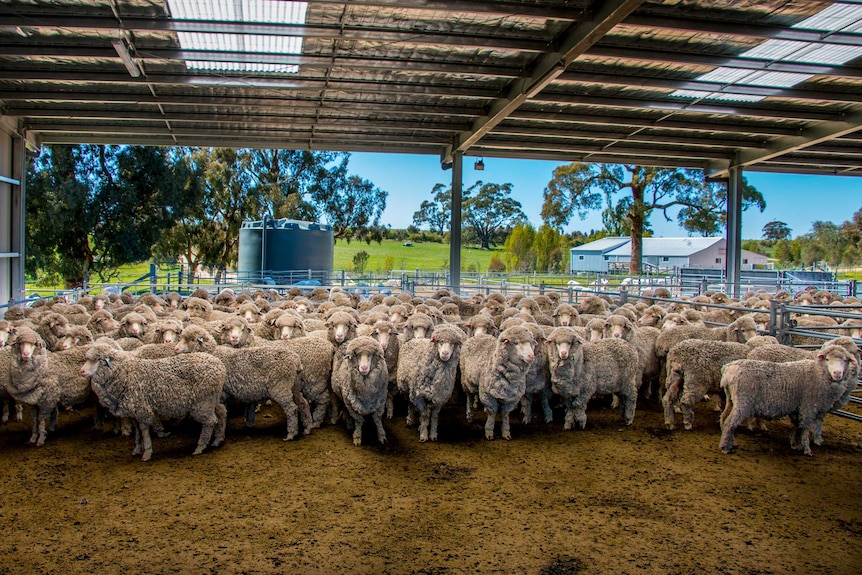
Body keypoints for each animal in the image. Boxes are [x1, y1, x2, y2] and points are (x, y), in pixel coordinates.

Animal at [81, 344, 228, 462]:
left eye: (96, 360)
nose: (81, 371)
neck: (124, 373)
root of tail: (219, 365)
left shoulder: (142, 408)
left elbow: (144, 431)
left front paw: (147, 453)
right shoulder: (134, 412)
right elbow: (138, 433)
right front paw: (137, 449)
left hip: (202, 402)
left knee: (210, 421)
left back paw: (200, 447)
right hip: (211, 399)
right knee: (221, 412)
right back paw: (217, 439)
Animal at [172, 326, 310, 444]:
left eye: (191, 339)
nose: (175, 349)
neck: (212, 353)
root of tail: (296, 361)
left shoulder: (221, 393)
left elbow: (221, 412)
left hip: (280, 387)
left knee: (292, 408)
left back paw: (291, 434)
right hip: (294, 386)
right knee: (303, 403)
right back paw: (307, 427)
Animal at [720, 342, 860, 460]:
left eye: (845, 360)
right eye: (827, 359)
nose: (837, 373)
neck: (817, 372)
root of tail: (728, 368)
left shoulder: (797, 408)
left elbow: (797, 426)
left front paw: (794, 444)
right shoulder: (808, 406)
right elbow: (805, 428)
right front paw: (806, 449)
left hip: (732, 400)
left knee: (724, 418)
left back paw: (729, 443)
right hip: (743, 402)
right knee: (729, 423)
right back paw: (725, 448)